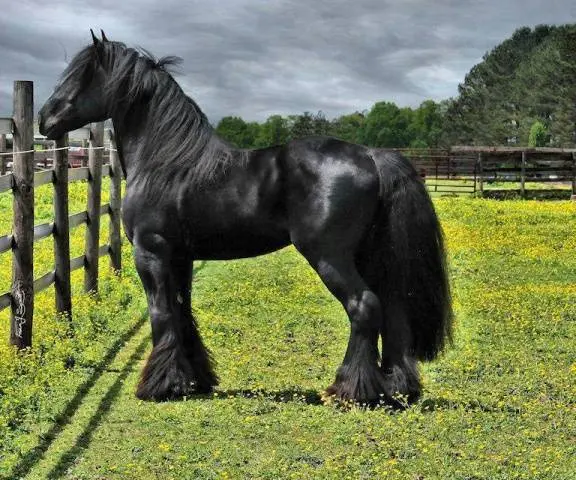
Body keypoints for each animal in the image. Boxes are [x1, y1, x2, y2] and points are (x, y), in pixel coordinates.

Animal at [39, 31, 454, 404]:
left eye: (82, 75)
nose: (45, 118)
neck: (167, 164)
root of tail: (371, 156)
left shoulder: (151, 253)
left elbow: (161, 313)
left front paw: (159, 386)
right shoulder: (181, 257)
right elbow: (182, 311)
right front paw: (194, 380)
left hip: (329, 256)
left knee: (364, 306)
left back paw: (349, 390)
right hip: (369, 255)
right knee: (394, 309)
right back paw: (397, 387)